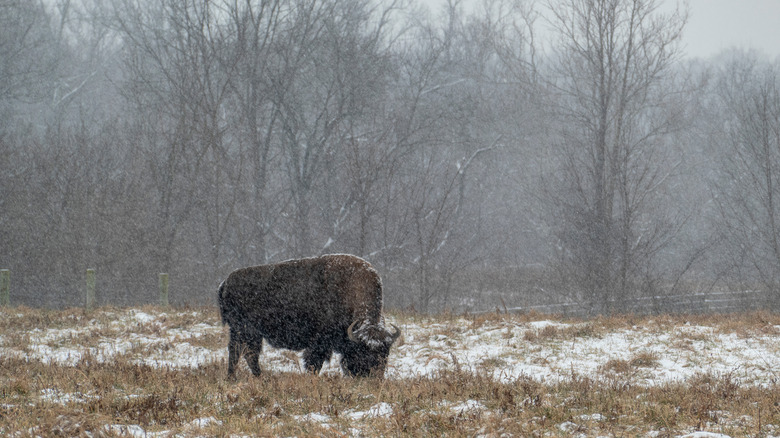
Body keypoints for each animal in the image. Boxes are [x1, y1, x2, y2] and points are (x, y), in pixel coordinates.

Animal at [218, 254, 400, 379]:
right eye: (363, 351)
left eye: (385, 353)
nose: (374, 376)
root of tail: (225, 282)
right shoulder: (318, 343)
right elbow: (313, 363)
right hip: (244, 330)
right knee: (240, 351)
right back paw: (240, 378)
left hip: (249, 333)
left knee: (246, 353)